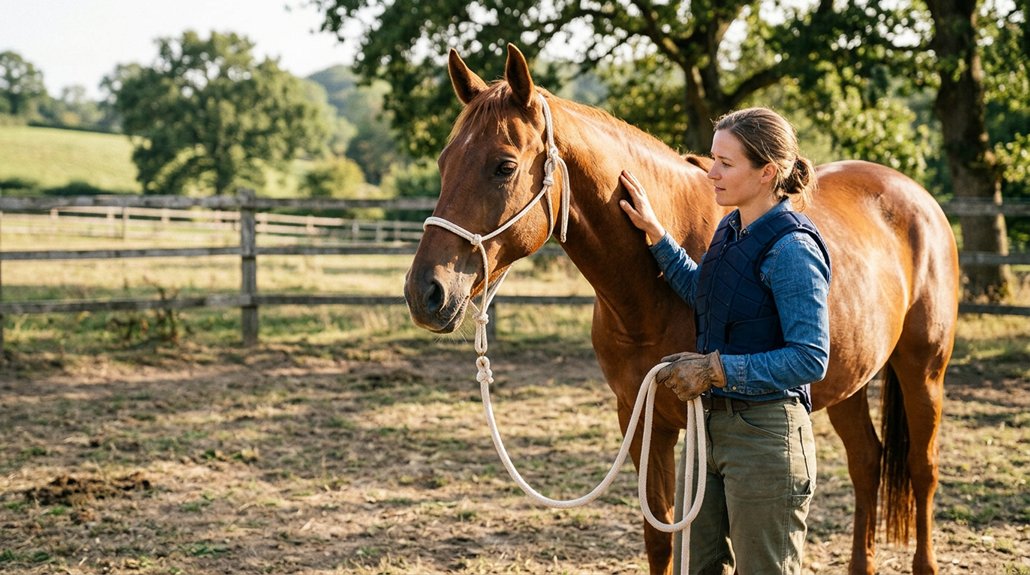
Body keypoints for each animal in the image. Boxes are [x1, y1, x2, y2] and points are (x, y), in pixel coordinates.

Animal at [403, 44, 959, 575]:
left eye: (504, 166)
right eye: (443, 162)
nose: (424, 293)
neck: (646, 298)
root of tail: (917, 198)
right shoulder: (642, 418)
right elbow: (660, 539)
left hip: (923, 370)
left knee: (922, 469)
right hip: (849, 379)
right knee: (867, 462)